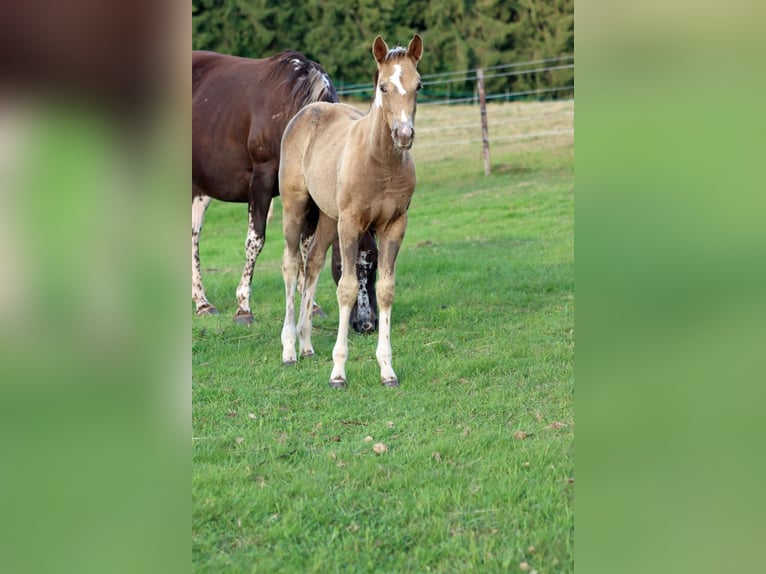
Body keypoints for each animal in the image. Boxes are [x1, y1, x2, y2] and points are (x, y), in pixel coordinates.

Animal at [192, 50, 378, 331]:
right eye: (340, 265)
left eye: (375, 263)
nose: (367, 324)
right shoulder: (261, 179)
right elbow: (255, 240)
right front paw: (243, 308)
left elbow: (307, 247)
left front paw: (312, 306)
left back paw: (201, 302)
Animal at [279, 33, 423, 388]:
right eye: (383, 86)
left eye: (419, 85)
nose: (404, 135)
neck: (379, 163)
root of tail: (308, 111)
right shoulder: (350, 224)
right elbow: (345, 289)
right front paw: (338, 372)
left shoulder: (395, 225)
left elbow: (385, 290)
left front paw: (387, 370)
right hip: (295, 206)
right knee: (291, 264)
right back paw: (289, 349)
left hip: (328, 217)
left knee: (313, 262)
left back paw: (306, 344)